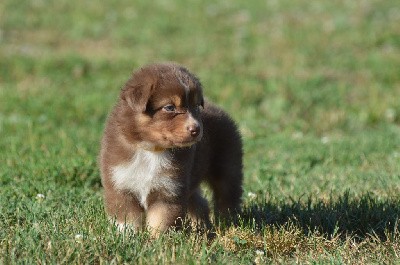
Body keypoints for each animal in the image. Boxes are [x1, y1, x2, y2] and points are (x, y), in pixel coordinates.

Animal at [100, 62, 244, 233]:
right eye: (169, 107)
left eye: (196, 106)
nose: (196, 129)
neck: (152, 150)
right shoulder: (121, 185)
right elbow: (126, 220)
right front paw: (127, 236)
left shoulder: (169, 190)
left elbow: (161, 221)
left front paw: (158, 239)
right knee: (199, 201)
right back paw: (200, 225)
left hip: (228, 166)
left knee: (227, 196)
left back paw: (228, 223)